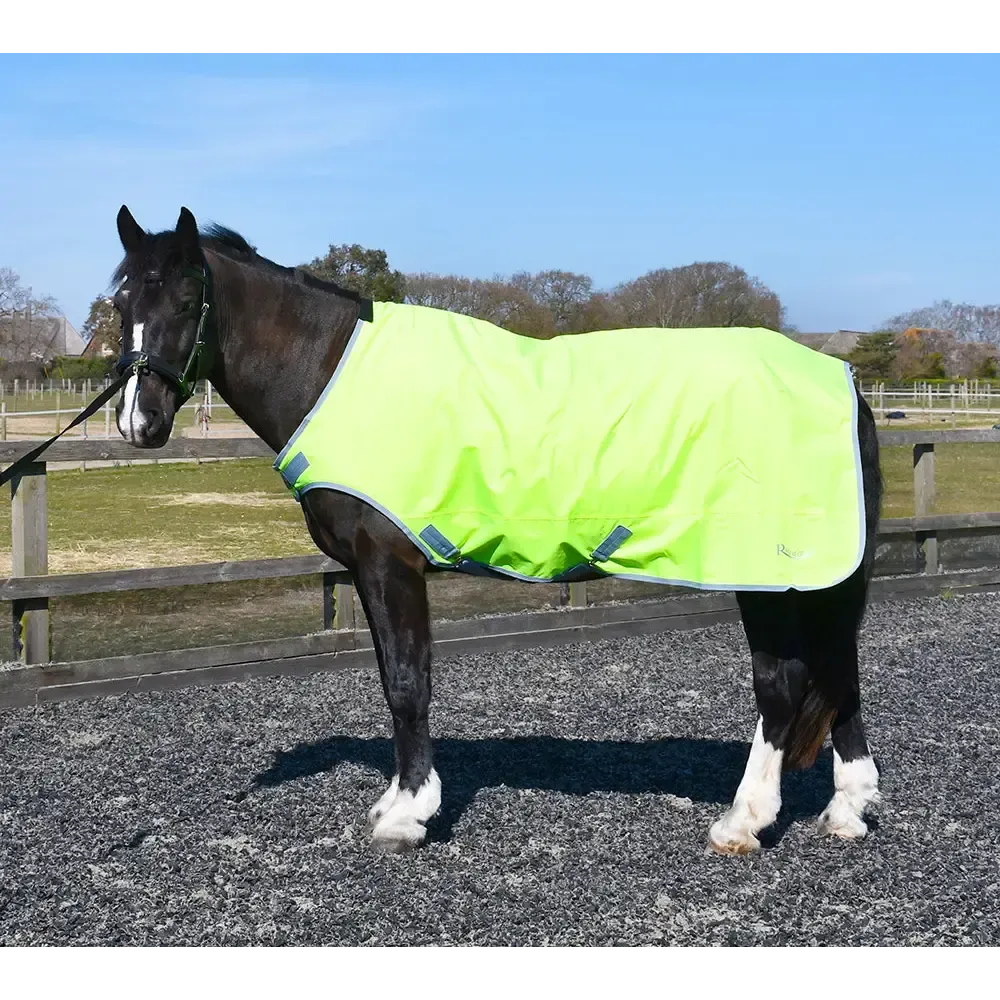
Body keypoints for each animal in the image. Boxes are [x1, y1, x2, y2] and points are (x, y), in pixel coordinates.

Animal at [109, 204, 884, 855]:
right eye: (122, 303)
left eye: (186, 300)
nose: (138, 421)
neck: (329, 371)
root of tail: (845, 385)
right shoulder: (368, 570)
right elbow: (393, 677)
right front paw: (397, 800)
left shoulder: (389, 563)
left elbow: (407, 681)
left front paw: (407, 814)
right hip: (815, 579)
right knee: (838, 672)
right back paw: (846, 811)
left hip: (766, 574)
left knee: (783, 684)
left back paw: (741, 821)